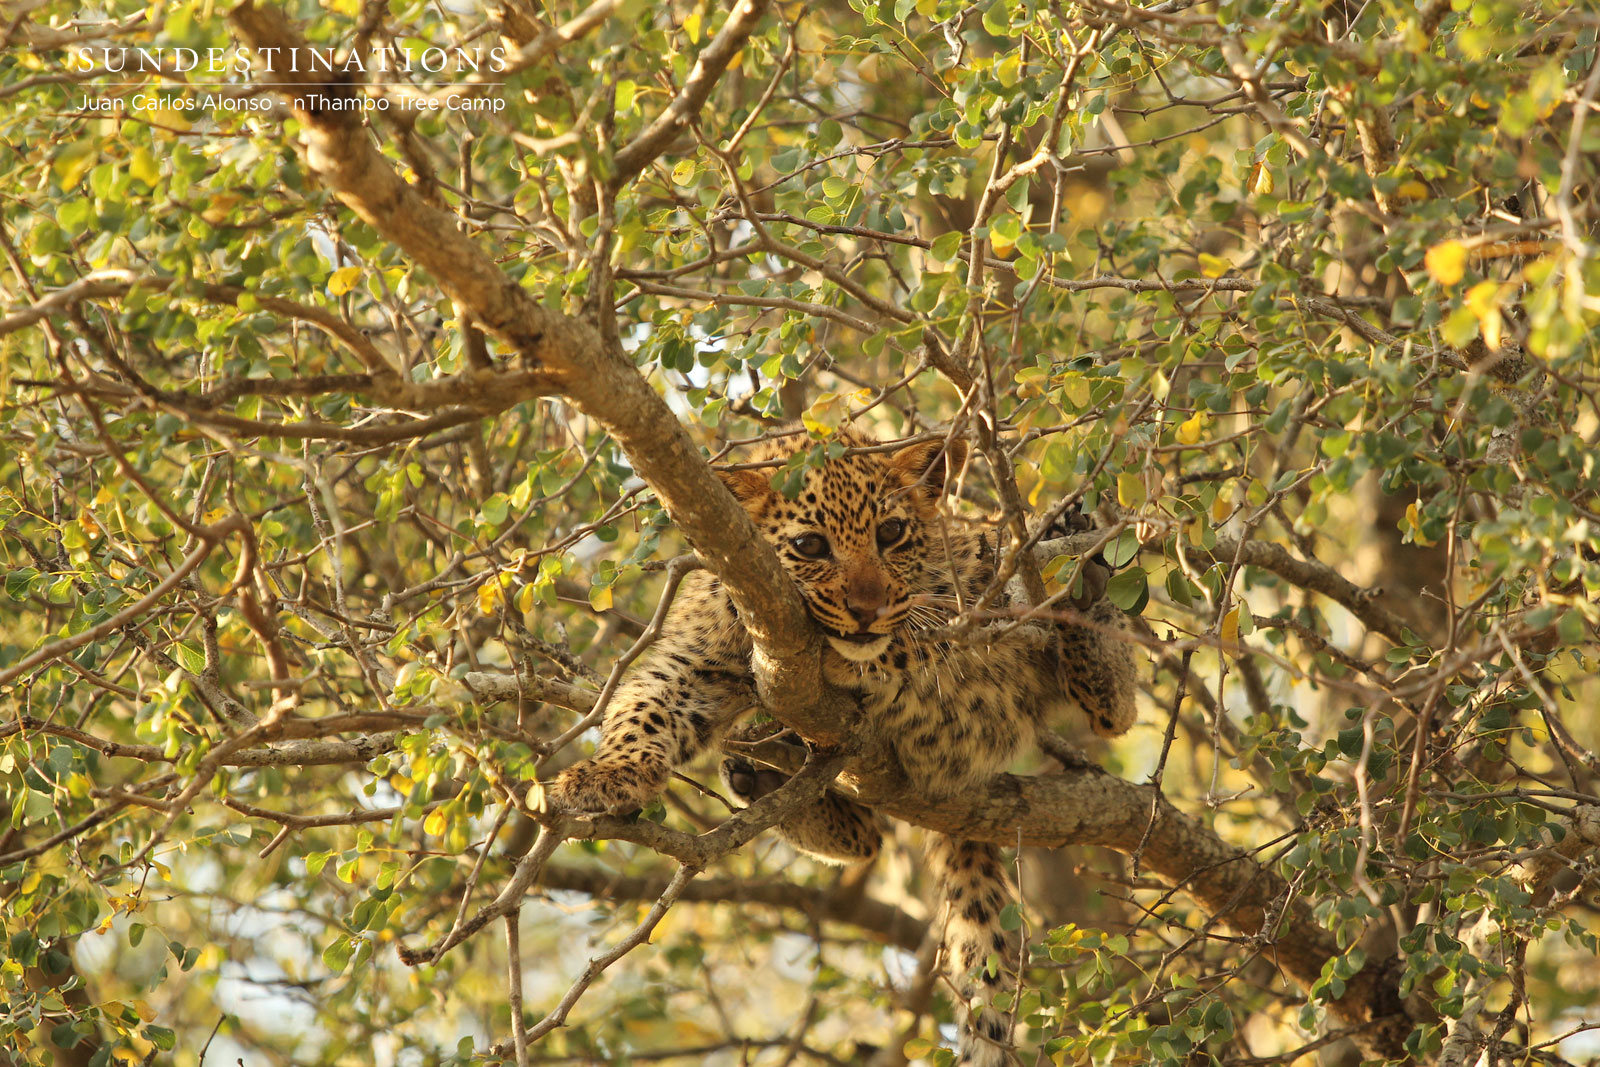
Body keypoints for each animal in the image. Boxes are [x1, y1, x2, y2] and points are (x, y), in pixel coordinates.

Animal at [547, 427, 1138, 1066]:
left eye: (892, 533)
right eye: (810, 545)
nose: (865, 608)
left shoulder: (965, 610)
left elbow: (916, 640)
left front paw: (860, 651)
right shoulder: (695, 663)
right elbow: (644, 708)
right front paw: (605, 773)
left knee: (1116, 704)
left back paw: (1082, 585)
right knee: (864, 837)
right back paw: (765, 778)